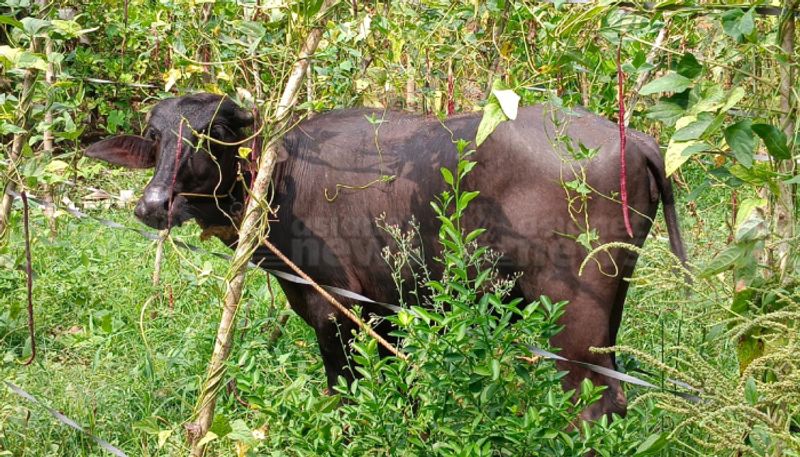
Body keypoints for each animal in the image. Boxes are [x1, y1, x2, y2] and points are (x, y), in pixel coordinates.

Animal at [87, 93, 688, 420]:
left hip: (571, 317)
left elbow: (344, 394)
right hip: (611, 306)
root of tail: (635, 141)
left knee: (594, 400)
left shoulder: (333, 310)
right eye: (155, 138)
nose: (154, 205)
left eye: (213, 134)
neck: (281, 178)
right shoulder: (385, 312)